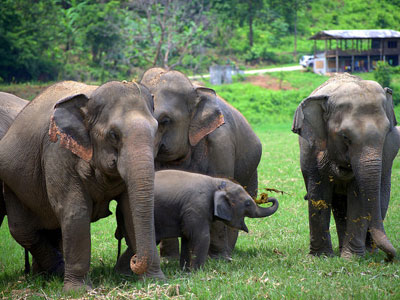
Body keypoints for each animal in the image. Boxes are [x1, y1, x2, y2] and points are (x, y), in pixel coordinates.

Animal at [0, 80, 164, 290]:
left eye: (156, 131)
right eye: (113, 134)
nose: (134, 261)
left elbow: (129, 210)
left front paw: (155, 281)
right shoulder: (57, 151)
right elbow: (75, 211)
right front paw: (76, 291)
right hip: (12, 182)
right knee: (23, 230)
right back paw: (56, 271)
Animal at [114, 67, 260, 272]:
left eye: (165, 120)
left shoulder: (220, 144)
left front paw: (218, 259)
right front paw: (169, 260)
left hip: (251, 170)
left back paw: (228, 253)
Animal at [115, 170, 278, 270]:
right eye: (248, 203)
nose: (268, 196)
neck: (217, 182)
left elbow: (188, 239)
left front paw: (185, 271)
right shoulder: (197, 207)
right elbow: (201, 237)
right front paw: (196, 272)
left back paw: (122, 274)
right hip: (132, 213)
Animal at [290, 73, 400, 260]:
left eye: (386, 134)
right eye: (345, 137)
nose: (390, 258)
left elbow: (357, 196)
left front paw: (351, 258)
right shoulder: (310, 149)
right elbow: (319, 193)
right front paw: (321, 257)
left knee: (379, 200)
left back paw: (368, 251)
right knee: (340, 206)